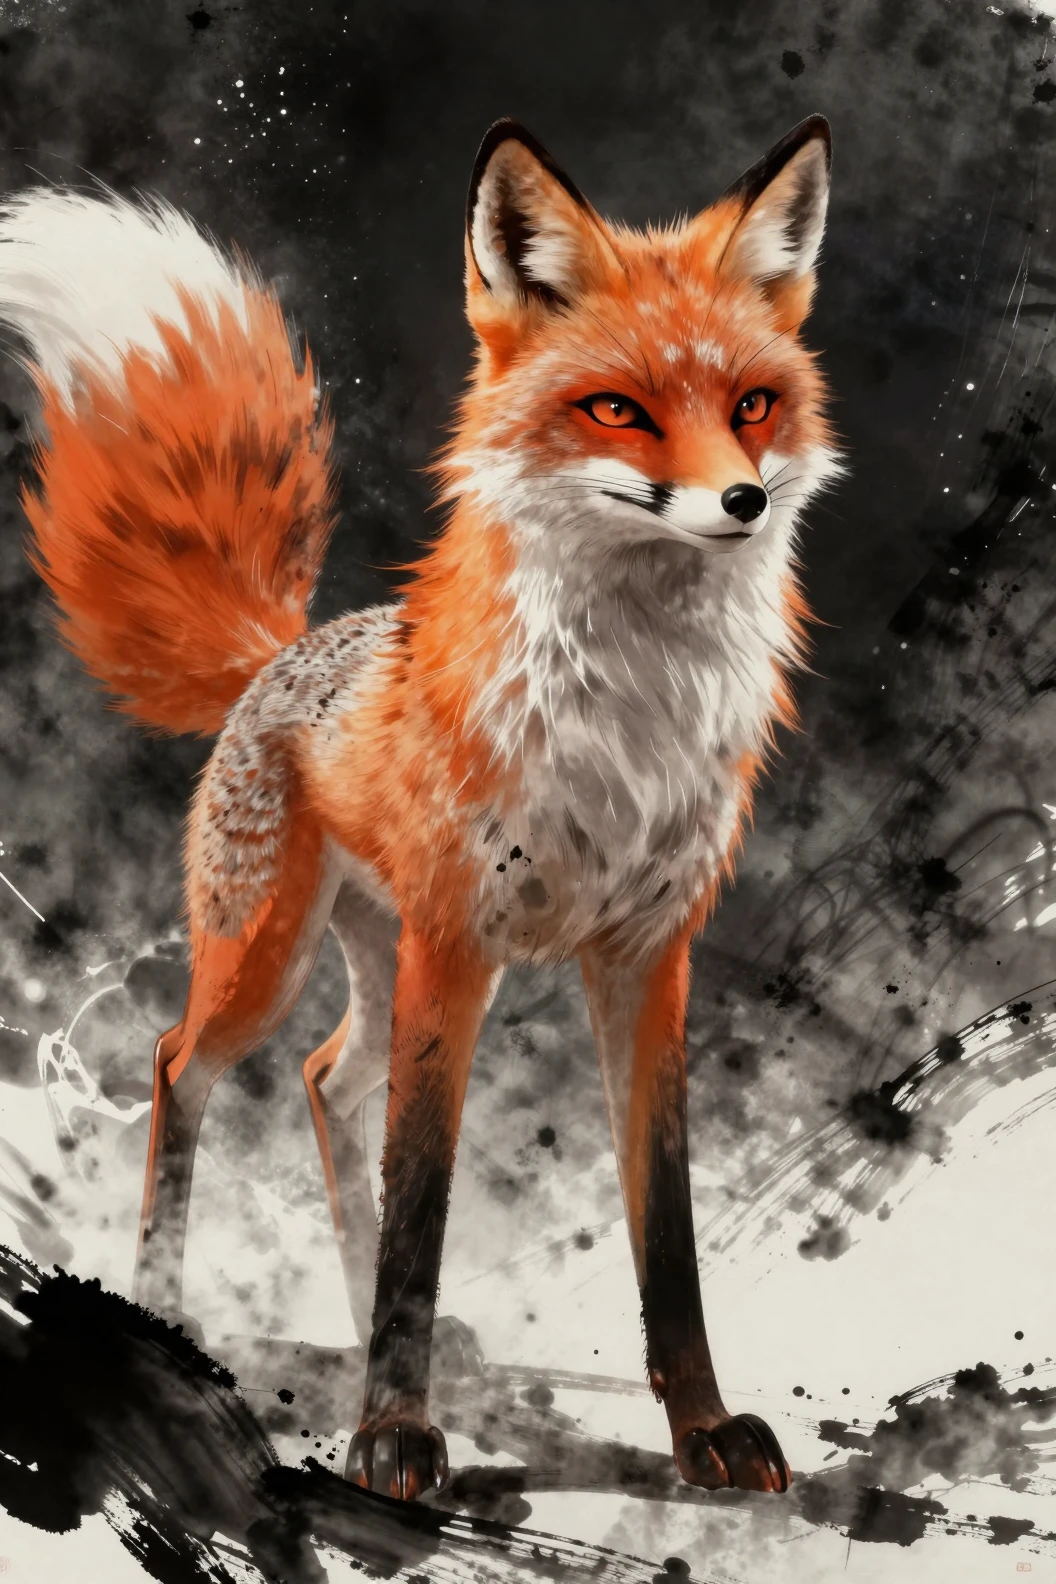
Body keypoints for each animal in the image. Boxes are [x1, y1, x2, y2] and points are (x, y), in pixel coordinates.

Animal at [0, 116, 841, 1502]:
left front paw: (703, 1430)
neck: (628, 724)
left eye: (752, 406)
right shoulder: (457, 943)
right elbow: (424, 1202)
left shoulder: (648, 954)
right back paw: (161, 1310)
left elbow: (661, 1225)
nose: (745, 502)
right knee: (184, 1065)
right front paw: (394, 1432)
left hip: (369, 962)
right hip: (272, 957)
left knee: (329, 1084)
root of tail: (285, 650)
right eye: (619, 409)